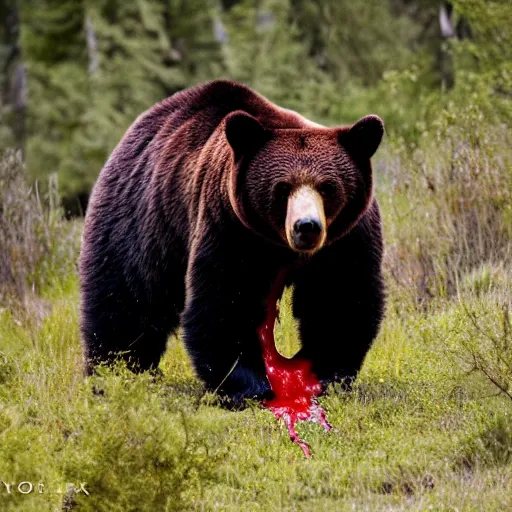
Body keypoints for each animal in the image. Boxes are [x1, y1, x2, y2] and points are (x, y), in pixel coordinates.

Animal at [80, 79, 384, 404]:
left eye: (327, 187)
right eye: (282, 188)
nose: (307, 227)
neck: (281, 247)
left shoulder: (345, 239)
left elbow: (340, 297)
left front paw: (325, 375)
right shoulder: (230, 227)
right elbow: (225, 300)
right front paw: (247, 386)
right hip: (141, 221)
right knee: (124, 299)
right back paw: (114, 372)